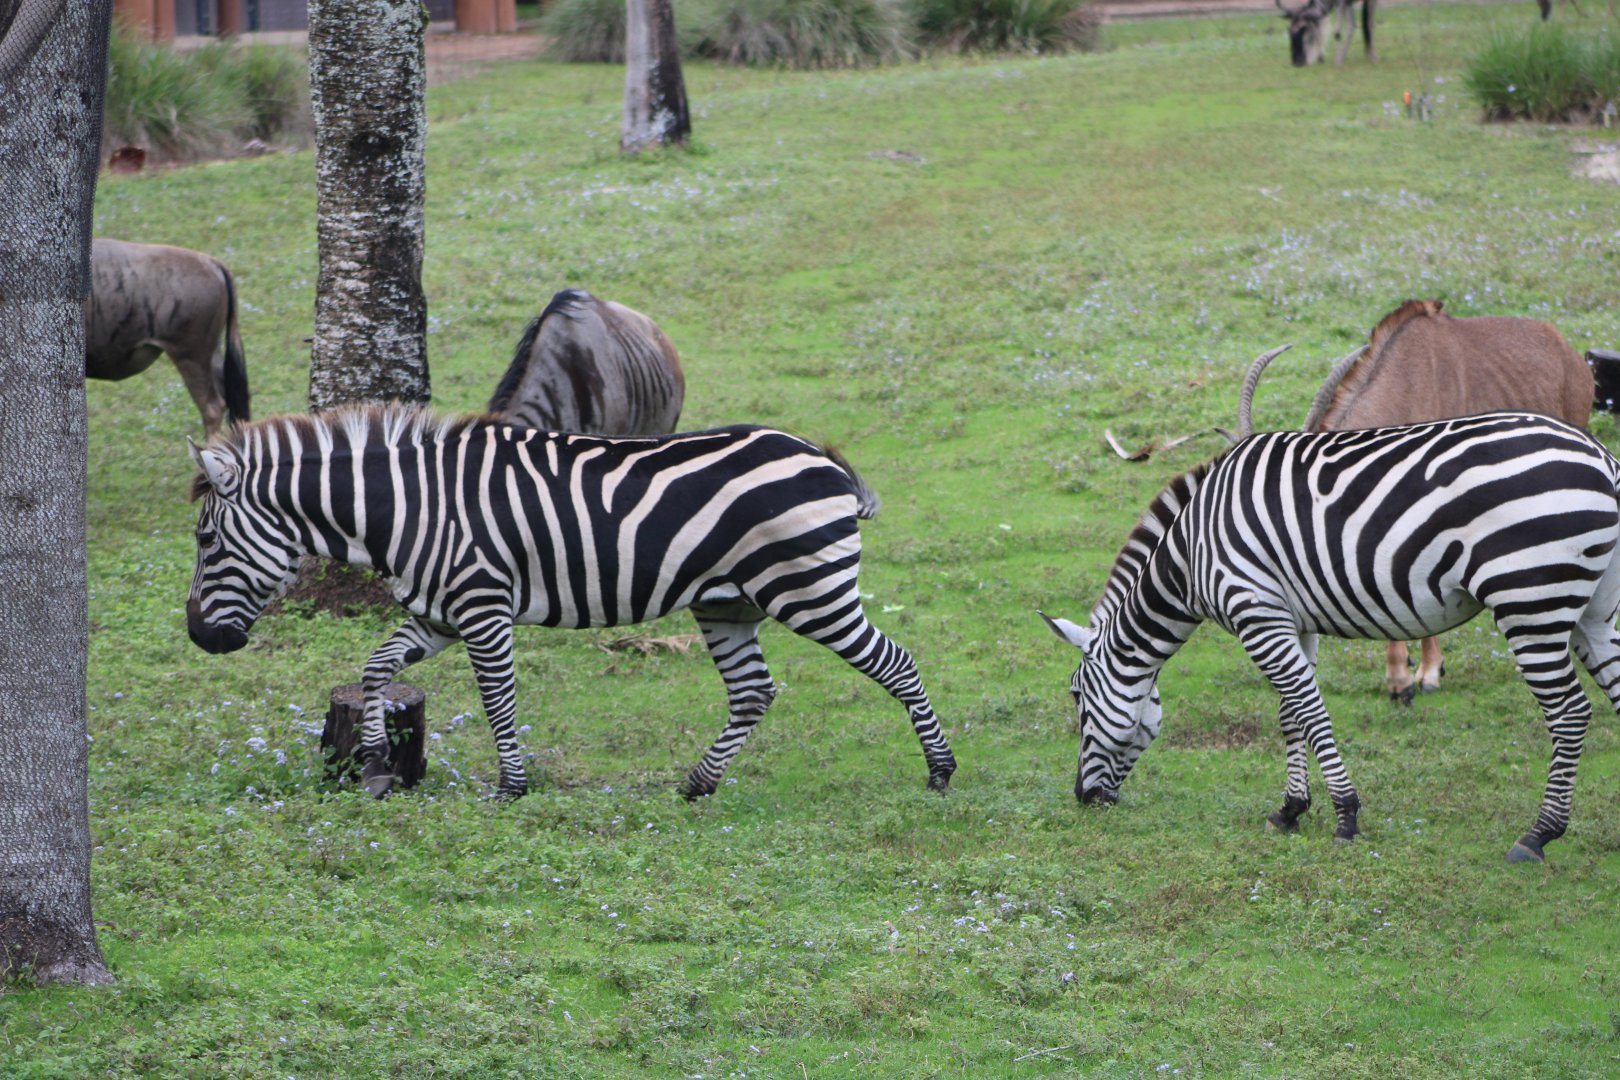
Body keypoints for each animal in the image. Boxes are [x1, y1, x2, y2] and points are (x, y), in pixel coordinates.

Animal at [185, 406, 956, 800]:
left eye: (204, 539)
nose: (198, 638)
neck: (410, 507)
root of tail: (821, 457)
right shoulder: (438, 611)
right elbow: (376, 667)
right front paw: (375, 761)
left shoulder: (482, 605)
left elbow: (498, 700)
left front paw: (511, 786)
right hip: (728, 605)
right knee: (753, 693)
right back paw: (696, 784)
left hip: (809, 589)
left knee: (899, 664)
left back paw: (941, 772)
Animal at [1041, 411, 1620, 863]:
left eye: (1077, 699)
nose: (1082, 797)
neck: (1190, 553)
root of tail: (1600, 455)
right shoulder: (1291, 619)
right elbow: (1290, 712)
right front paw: (1291, 809)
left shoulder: (1254, 609)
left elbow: (1310, 710)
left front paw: (1345, 817)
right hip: (1593, 608)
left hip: (1530, 598)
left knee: (1569, 712)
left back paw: (1538, 835)